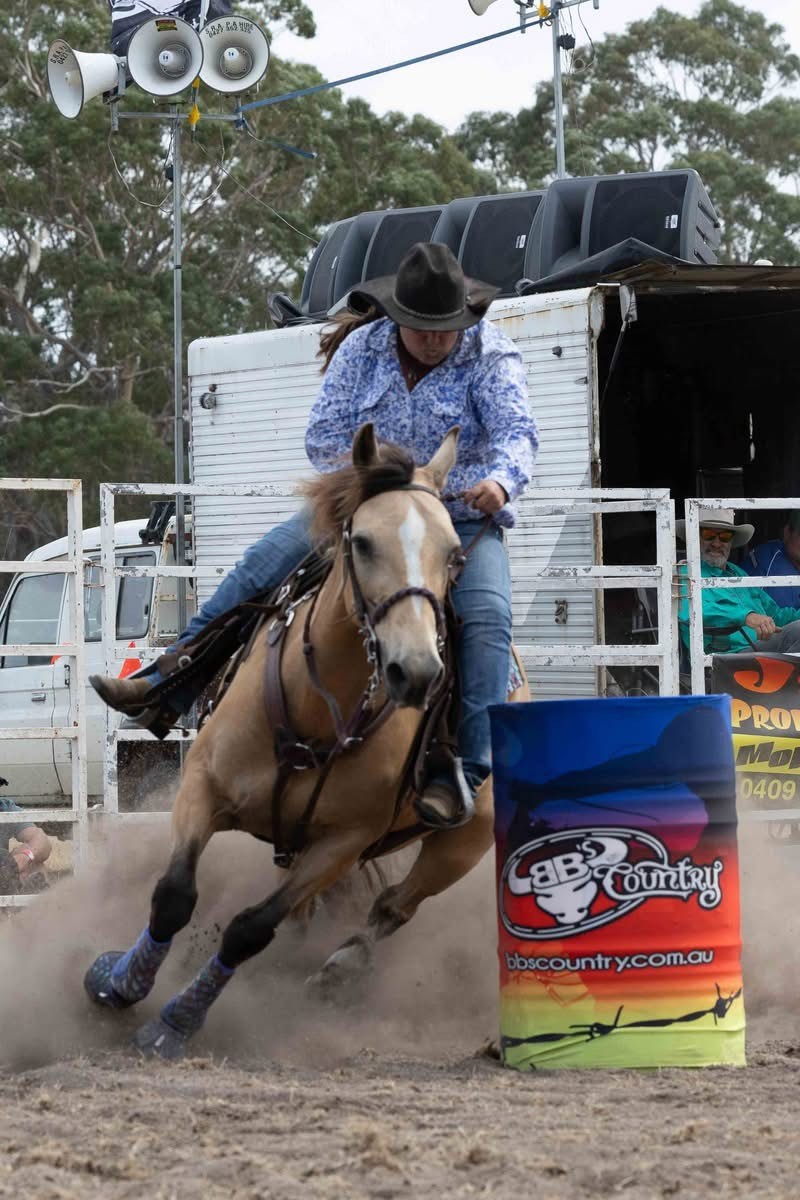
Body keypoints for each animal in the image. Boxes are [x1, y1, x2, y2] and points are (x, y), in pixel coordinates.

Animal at [84, 424, 527, 1060]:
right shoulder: (202, 788)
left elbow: (250, 928)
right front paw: (116, 983)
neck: (320, 707)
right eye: (363, 542)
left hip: (461, 844)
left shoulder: (342, 843)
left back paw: (337, 970)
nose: (417, 672)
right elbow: (173, 896)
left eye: (454, 553)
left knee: (393, 906)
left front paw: (175, 1023)